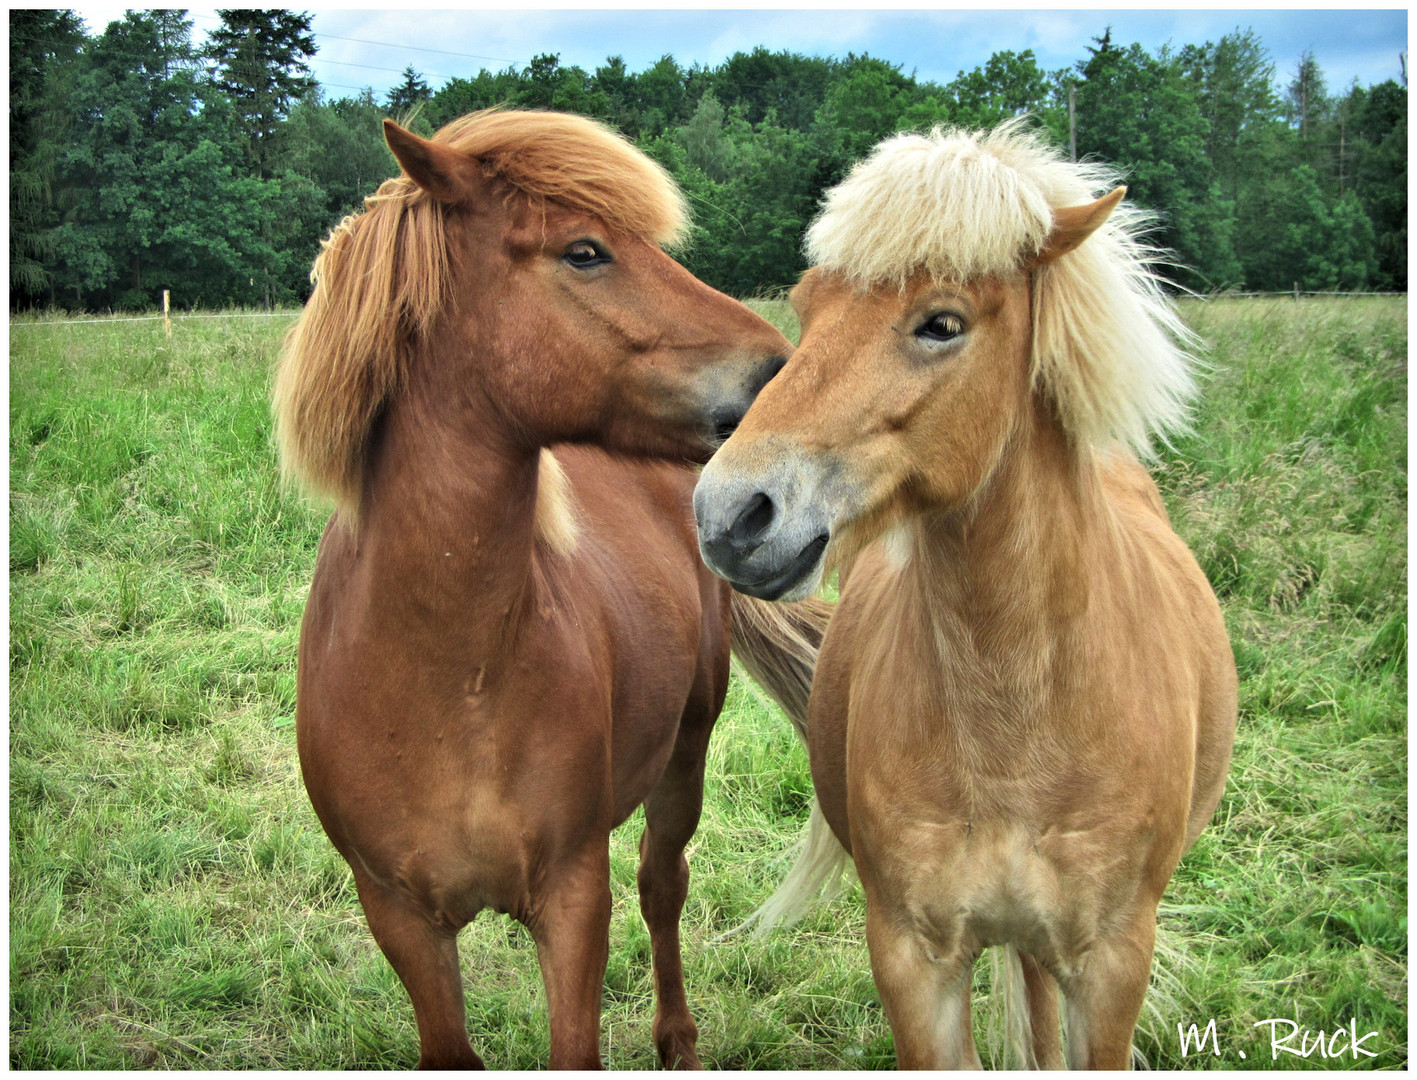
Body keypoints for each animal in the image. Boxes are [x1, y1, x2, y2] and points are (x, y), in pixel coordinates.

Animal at [273, 104, 827, 1065]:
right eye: (584, 251)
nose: (776, 385)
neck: (445, 683)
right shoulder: (401, 918)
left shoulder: (572, 896)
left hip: (685, 750)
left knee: (662, 885)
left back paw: (677, 1041)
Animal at [697, 121, 1241, 1065]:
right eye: (807, 306)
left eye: (940, 323)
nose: (730, 513)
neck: (1019, 720)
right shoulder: (913, 964)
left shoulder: (1111, 969)